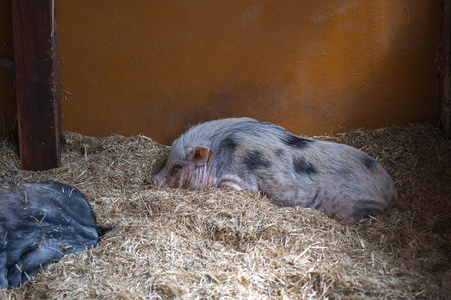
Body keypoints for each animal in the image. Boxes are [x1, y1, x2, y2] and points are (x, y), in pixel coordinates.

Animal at [154, 118, 398, 223]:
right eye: (167, 162)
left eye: (177, 166)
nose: (153, 179)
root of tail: (391, 190)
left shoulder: (244, 181)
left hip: (358, 204)